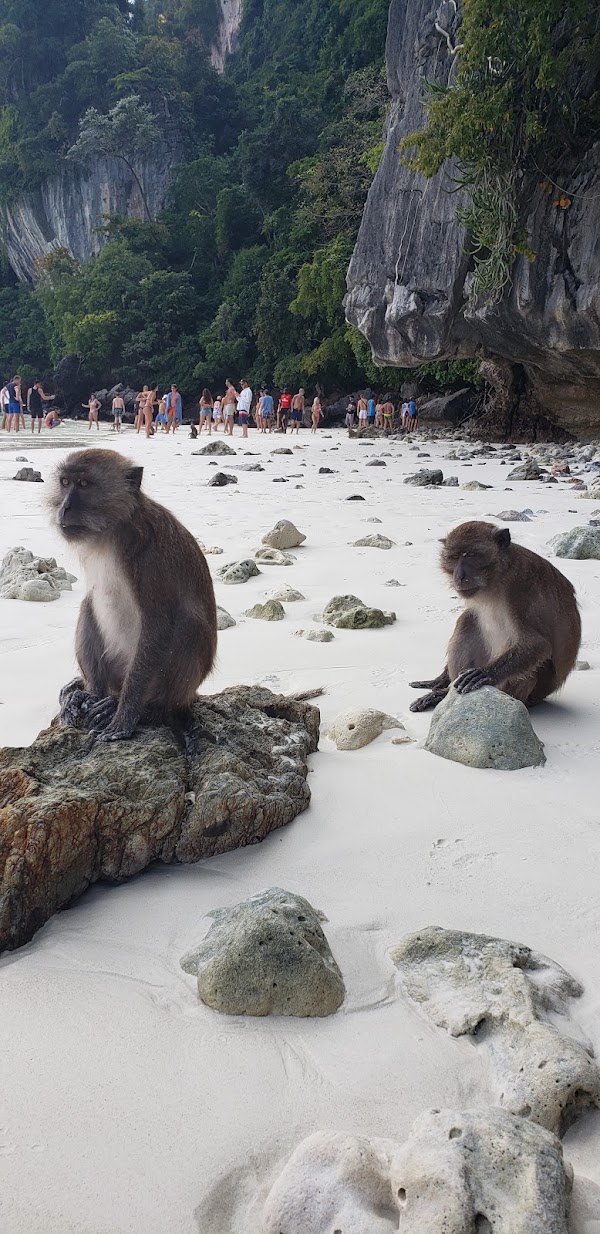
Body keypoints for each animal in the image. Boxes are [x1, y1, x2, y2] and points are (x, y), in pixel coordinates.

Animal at [48, 449, 218, 742]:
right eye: (65, 482)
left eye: (84, 484)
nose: (65, 507)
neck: (114, 530)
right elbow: (92, 598)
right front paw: (91, 694)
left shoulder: (150, 556)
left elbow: (159, 625)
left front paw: (124, 718)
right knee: (89, 603)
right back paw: (94, 694)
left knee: (188, 624)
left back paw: (148, 709)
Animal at [409, 521, 581, 713]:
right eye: (454, 557)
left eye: (471, 555)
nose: (459, 576)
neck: (499, 575)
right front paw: (440, 679)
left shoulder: (521, 585)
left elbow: (538, 643)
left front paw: (486, 673)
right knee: (467, 619)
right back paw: (443, 693)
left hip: (526, 693)